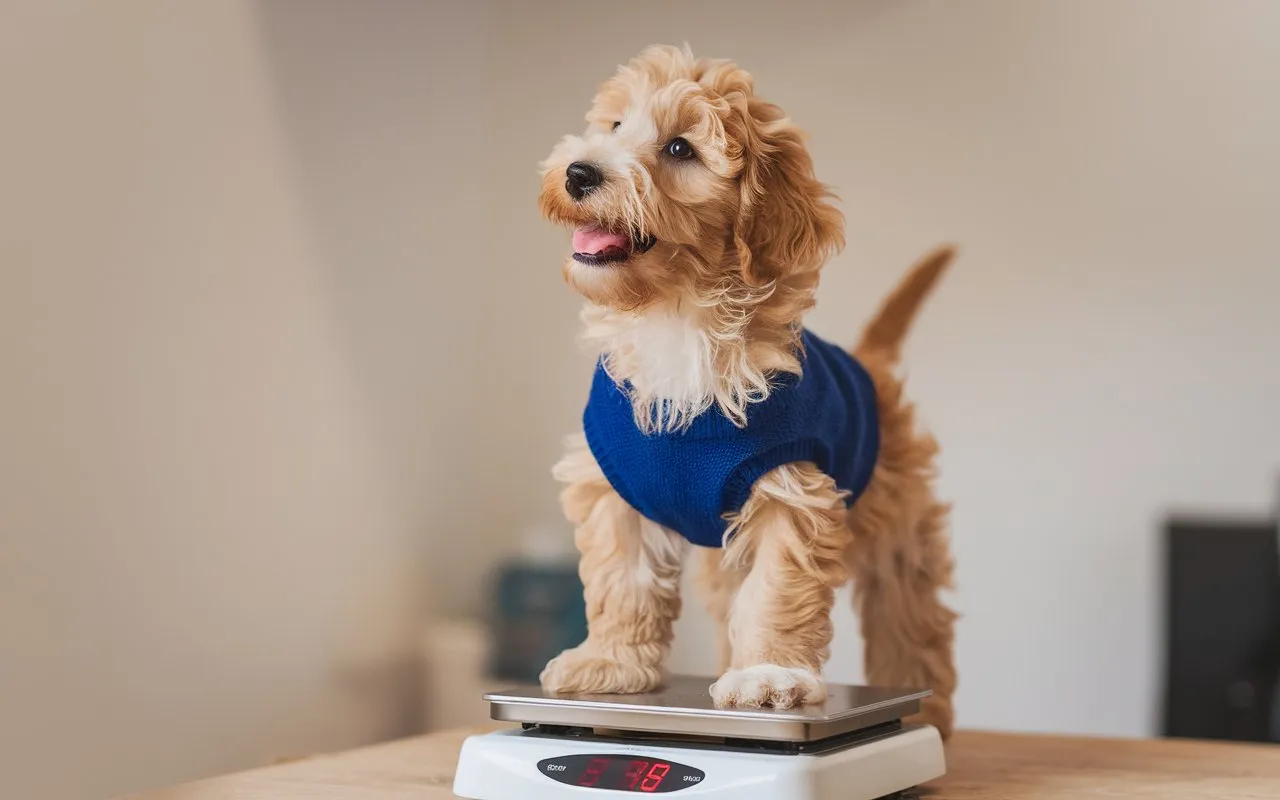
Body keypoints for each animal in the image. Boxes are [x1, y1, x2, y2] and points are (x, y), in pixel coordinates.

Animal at [535, 42, 957, 737]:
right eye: (615, 126)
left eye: (680, 148)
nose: (577, 172)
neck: (676, 314)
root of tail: (868, 362)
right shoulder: (612, 486)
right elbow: (622, 577)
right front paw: (611, 663)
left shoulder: (791, 486)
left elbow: (777, 588)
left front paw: (769, 677)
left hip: (901, 531)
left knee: (913, 626)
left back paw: (931, 714)